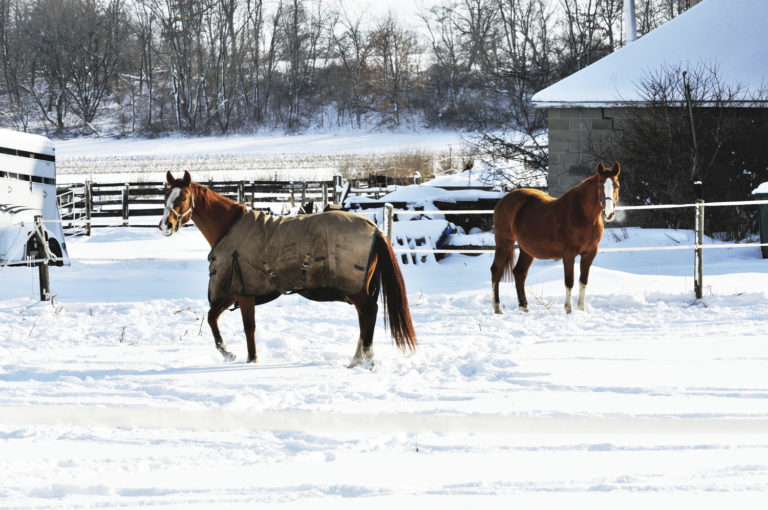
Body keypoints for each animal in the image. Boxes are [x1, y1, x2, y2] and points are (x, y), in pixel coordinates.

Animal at [159, 171, 416, 367]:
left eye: (183, 196)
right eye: (166, 195)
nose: (165, 225)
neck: (230, 228)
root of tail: (376, 230)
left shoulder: (242, 291)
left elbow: (247, 327)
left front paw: (248, 359)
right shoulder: (235, 292)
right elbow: (213, 317)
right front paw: (228, 353)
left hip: (356, 289)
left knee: (368, 315)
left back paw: (364, 360)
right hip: (360, 289)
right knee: (365, 318)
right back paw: (358, 360)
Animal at [490, 161, 621, 314]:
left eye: (616, 186)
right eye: (600, 186)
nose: (609, 213)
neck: (582, 215)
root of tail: (503, 201)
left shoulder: (590, 253)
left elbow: (583, 281)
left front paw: (581, 309)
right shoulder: (568, 254)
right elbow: (569, 281)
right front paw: (568, 310)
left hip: (526, 250)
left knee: (519, 273)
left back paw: (524, 307)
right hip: (504, 243)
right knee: (496, 270)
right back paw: (497, 307)